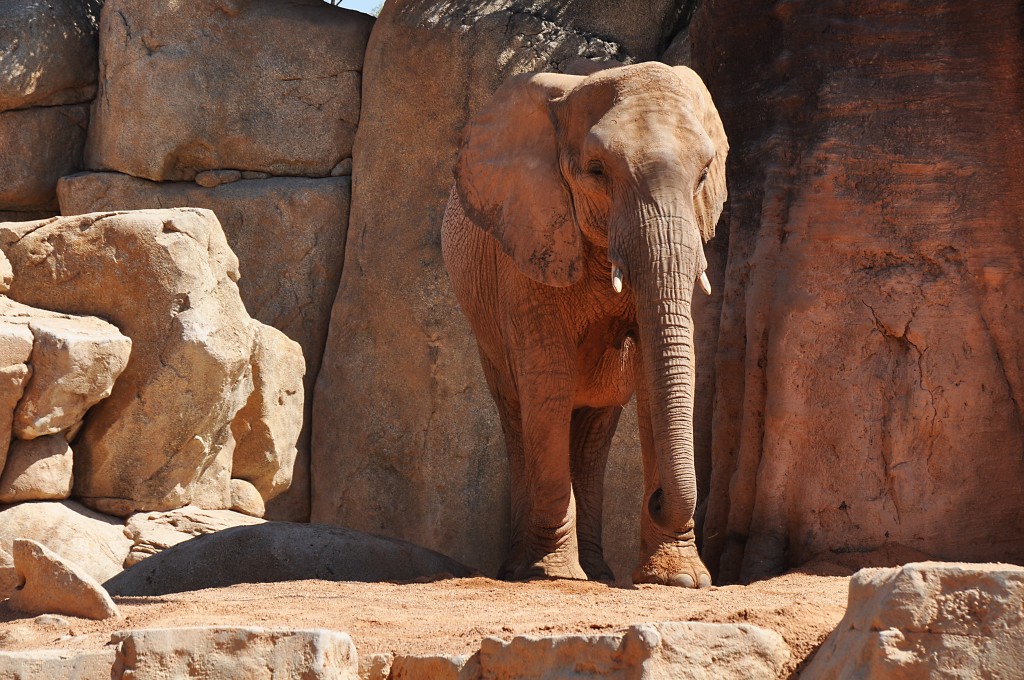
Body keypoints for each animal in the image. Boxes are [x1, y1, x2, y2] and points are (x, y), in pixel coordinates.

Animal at [442, 61, 729, 585]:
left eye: (703, 175)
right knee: (521, 414)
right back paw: (526, 568)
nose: (656, 499)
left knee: (596, 428)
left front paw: (679, 580)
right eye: (597, 173)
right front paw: (551, 574)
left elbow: (652, 372)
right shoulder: (530, 243)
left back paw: (597, 572)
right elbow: (548, 379)